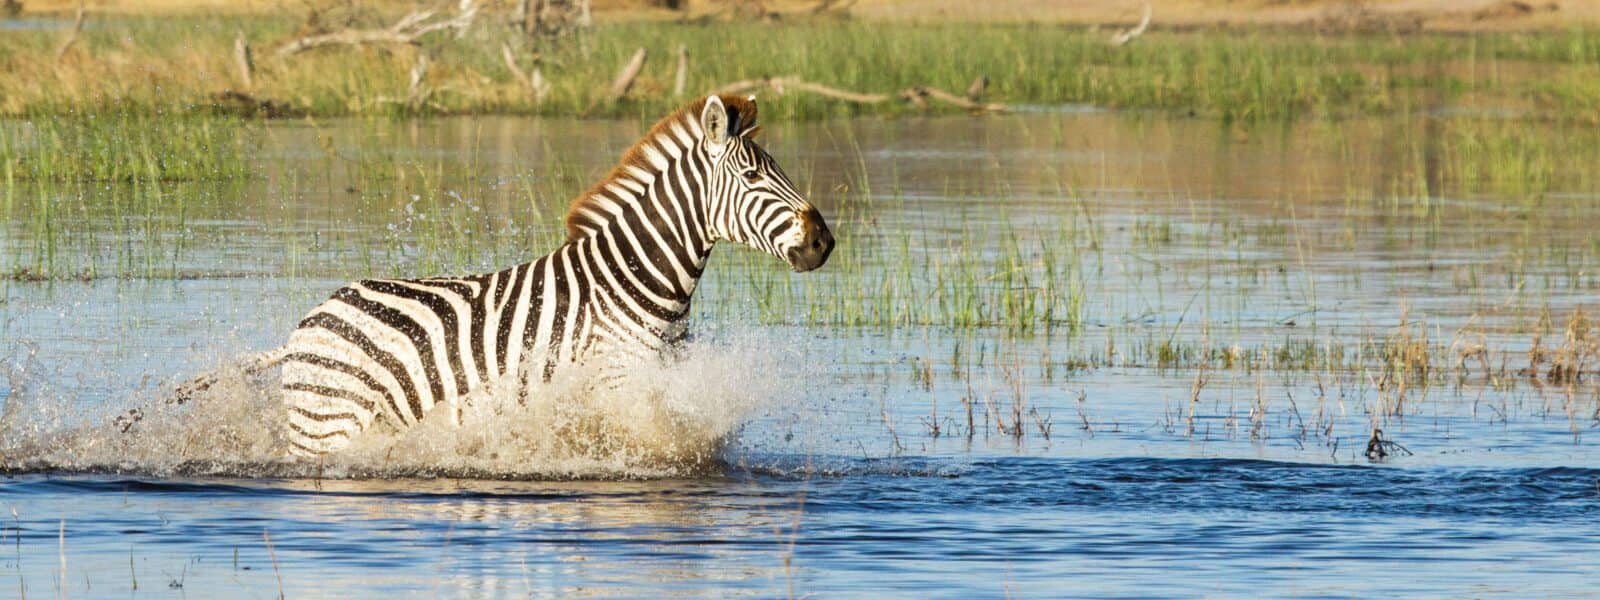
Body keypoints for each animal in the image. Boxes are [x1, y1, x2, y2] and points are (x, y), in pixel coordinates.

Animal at [158, 94, 834, 456]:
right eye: (752, 177)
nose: (823, 242)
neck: (632, 284)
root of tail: (306, 324)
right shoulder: (619, 391)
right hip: (328, 429)